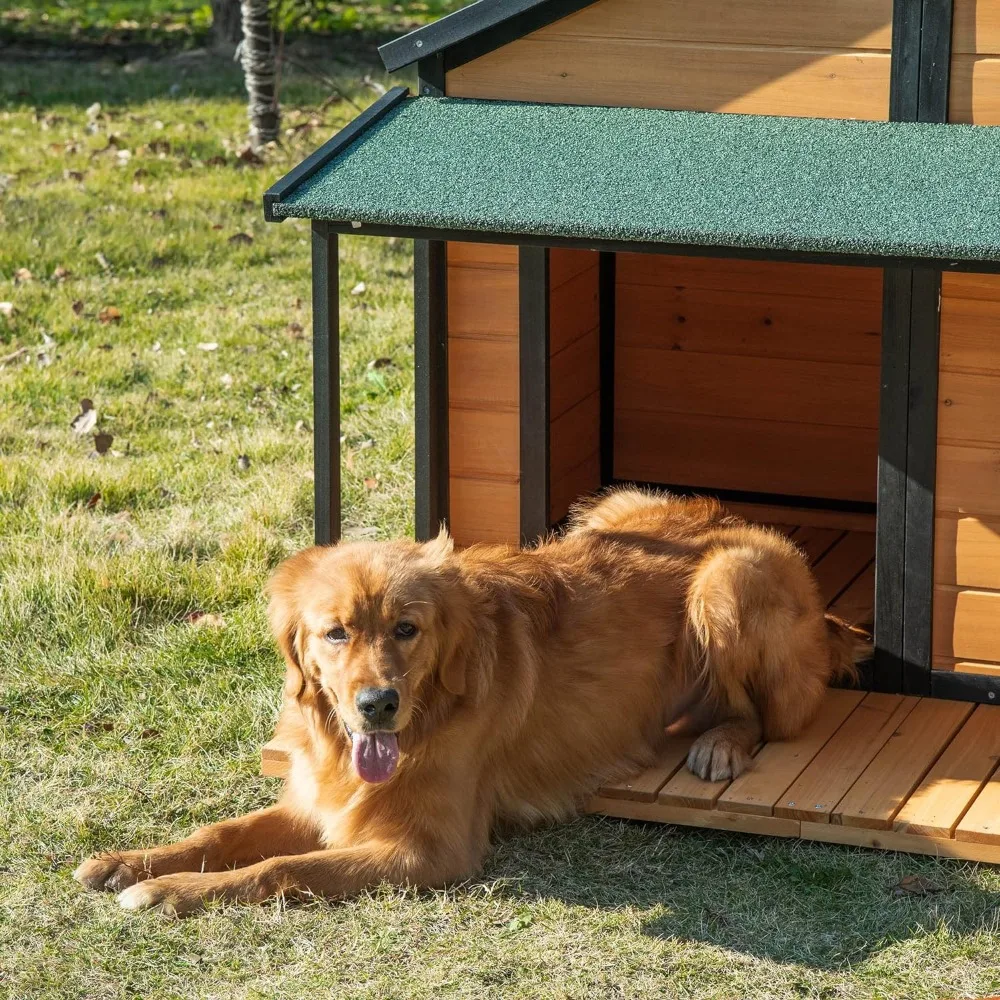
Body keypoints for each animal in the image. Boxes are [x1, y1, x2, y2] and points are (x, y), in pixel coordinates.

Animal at [76, 486, 860, 916]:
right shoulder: (316, 802)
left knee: (767, 714)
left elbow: (279, 870)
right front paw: (131, 863)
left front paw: (169, 893)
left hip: (726, 583)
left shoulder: (428, 850)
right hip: (601, 512)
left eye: (406, 628)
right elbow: (221, 834)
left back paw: (719, 741)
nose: (377, 704)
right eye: (335, 633)